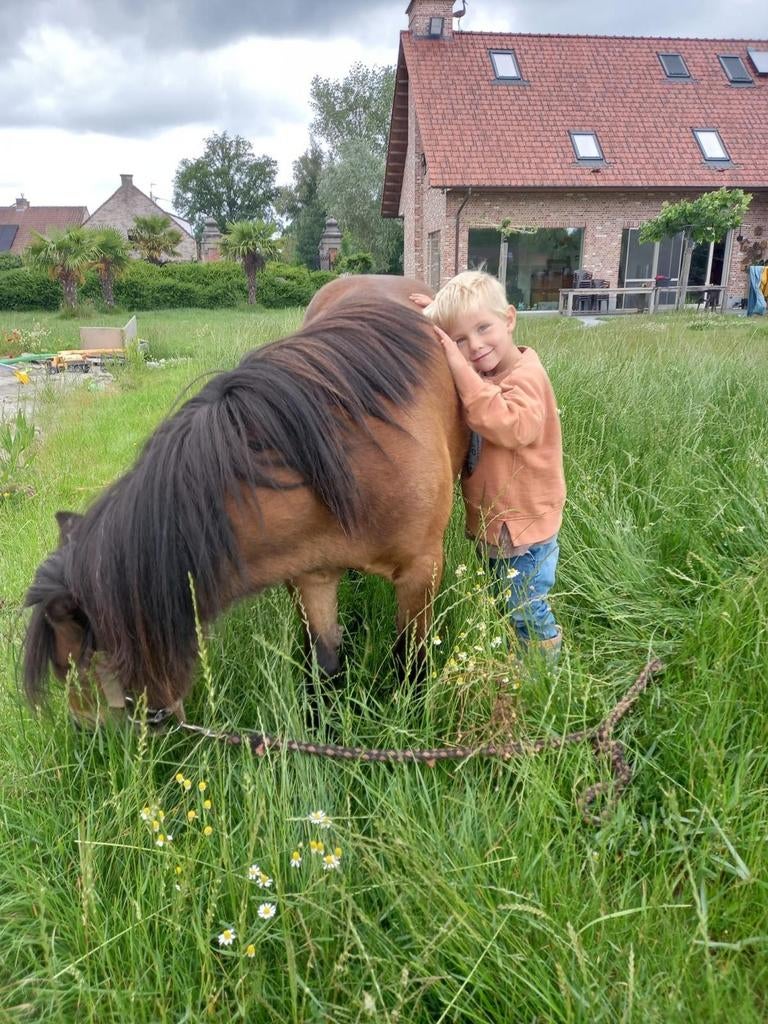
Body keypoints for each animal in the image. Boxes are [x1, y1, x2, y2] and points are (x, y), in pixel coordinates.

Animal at [23, 276, 469, 728]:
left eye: (72, 664)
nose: (83, 728)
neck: (348, 459)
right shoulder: (312, 575)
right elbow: (324, 665)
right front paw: (320, 725)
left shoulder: (421, 573)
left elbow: (410, 662)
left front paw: (410, 719)